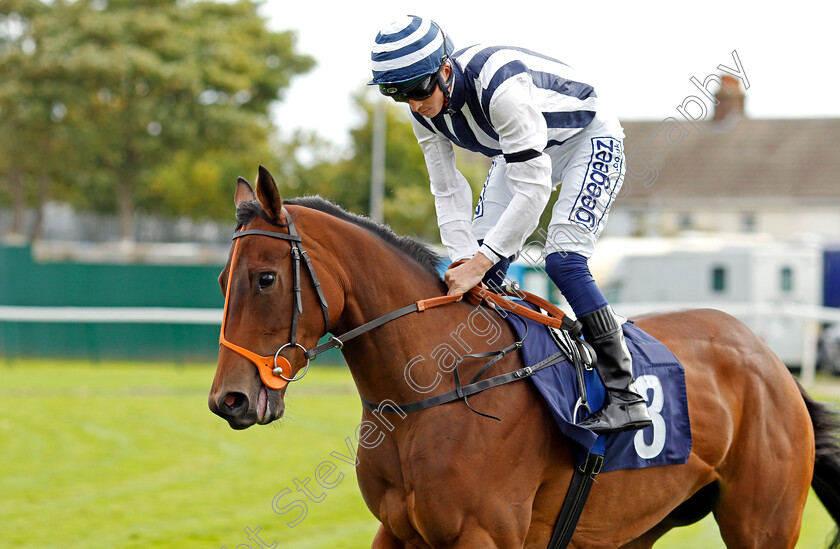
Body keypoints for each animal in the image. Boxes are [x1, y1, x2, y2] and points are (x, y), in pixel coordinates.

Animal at [208, 167, 840, 548]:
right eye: (220, 281)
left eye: (265, 279)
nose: (228, 399)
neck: (432, 391)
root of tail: (772, 364)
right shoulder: (396, 531)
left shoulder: (484, 535)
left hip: (762, 523)